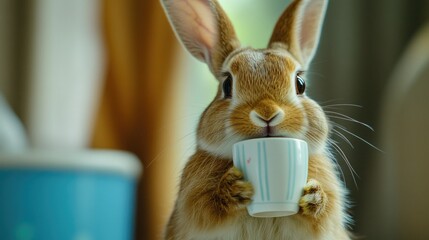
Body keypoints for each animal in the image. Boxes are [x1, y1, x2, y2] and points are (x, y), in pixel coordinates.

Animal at [160, 0, 352, 239]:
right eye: (227, 85)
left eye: (300, 84)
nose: (267, 113)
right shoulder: (193, 201)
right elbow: (207, 206)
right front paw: (233, 189)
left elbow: (323, 213)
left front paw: (314, 196)